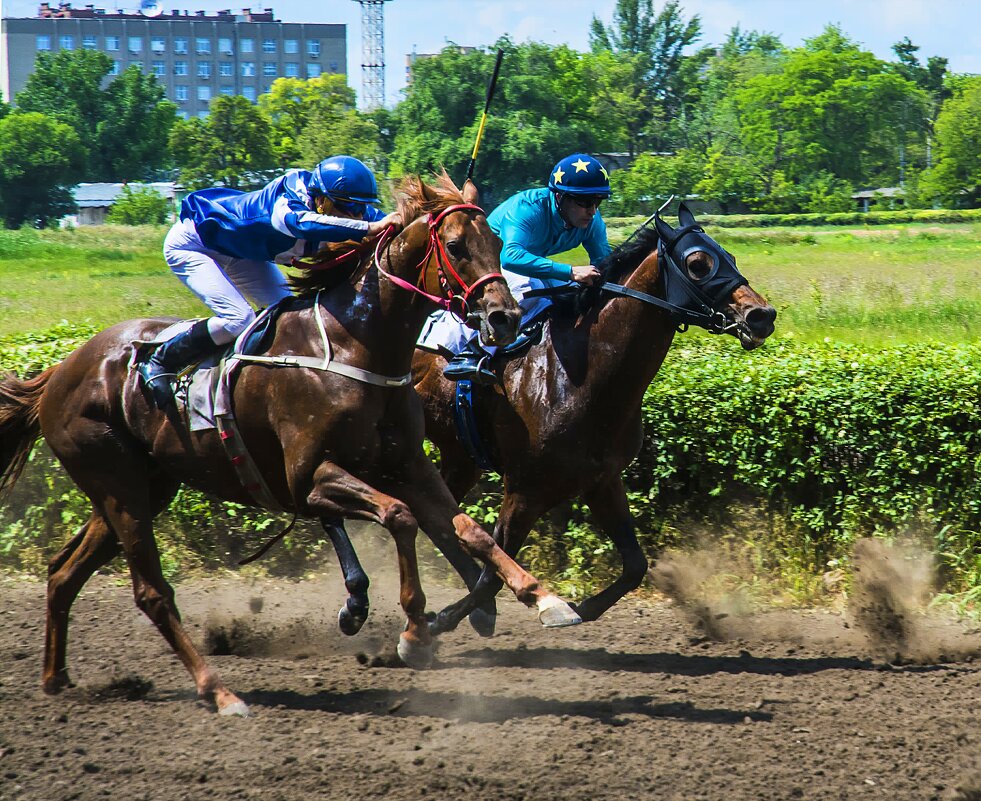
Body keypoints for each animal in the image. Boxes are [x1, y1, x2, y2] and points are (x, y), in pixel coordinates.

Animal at [0, 173, 580, 712]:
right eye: (457, 245)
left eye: (498, 242)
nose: (505, 318)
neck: (355, 346)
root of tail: (58, 372)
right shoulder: (310, 476)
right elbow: (400, 517)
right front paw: (415, 629)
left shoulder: (407, 464)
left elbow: (470, 530)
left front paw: (545, 598)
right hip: (118, 483)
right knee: (151, 593)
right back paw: (220, 693)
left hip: (141, 488)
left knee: (64, 573)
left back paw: (55, 677)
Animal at [322, 203, 772, 636]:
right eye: (698, 263)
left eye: (730, 255)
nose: (761, 315)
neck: (580, 374)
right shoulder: (525, 489)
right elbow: (493, 572)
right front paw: (446, 619)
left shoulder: (601, 480)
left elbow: (634, 565)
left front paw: (582, 606)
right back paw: (357, 600)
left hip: (454, 456)